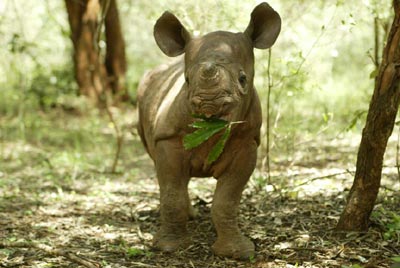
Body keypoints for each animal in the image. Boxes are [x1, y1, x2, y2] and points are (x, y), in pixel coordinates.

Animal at [138, 1, 282, 258]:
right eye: (186, 80)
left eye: (243, 79)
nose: (209, 103)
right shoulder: (167, 138)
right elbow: (172, 192)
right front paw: (169, 247)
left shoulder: (248, 142)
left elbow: (227, 200)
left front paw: (237, 252)